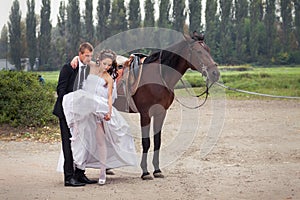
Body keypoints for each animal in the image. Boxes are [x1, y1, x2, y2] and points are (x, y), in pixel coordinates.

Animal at [113, 34, 219, 180]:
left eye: (208, 50)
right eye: (198, 51)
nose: (215, 73)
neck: (159, 76)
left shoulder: (161, 113)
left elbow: (158, 141)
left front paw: (157, 170)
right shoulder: (145, 114)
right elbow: (146, 142)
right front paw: (145, 172)